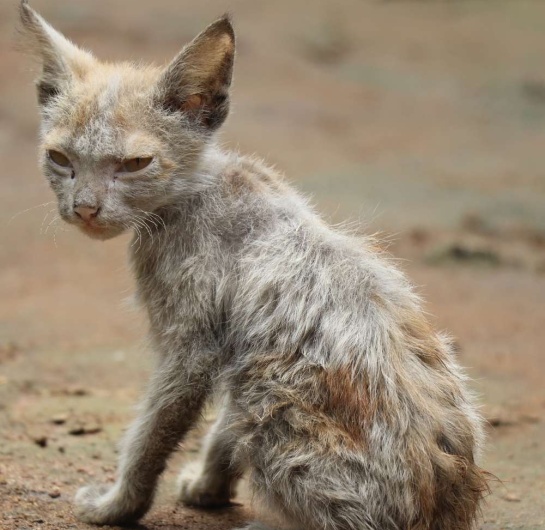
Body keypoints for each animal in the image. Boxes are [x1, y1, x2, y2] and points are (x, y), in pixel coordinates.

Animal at [19, 2, 488, 524]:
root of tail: (446, 509)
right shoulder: (232, 350)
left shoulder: (191, 348)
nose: (84, 207)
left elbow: (151, 433)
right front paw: (208, 487)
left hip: (275, 400)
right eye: (60, 158)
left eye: (135, 163)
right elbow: (221, 428)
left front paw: (117, 505)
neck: (195, 189)